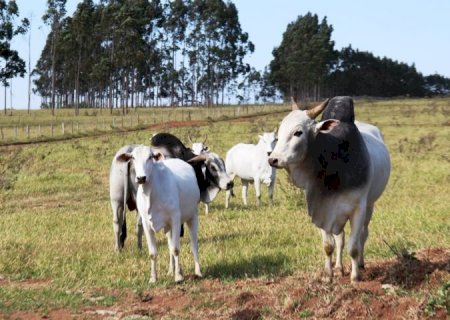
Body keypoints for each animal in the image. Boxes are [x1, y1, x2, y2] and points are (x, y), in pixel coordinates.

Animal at [268, 97, 390, 282]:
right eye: (278, 133)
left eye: (298, 132)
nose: (273, 159)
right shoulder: (322, 208)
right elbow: (328, 245)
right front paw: (328, 275)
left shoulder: (358, 209)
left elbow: (354, 246)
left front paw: (355, 277)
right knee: (340, 238)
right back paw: (339, 267)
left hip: (369, 206)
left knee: (363, 235)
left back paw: (361, 264)